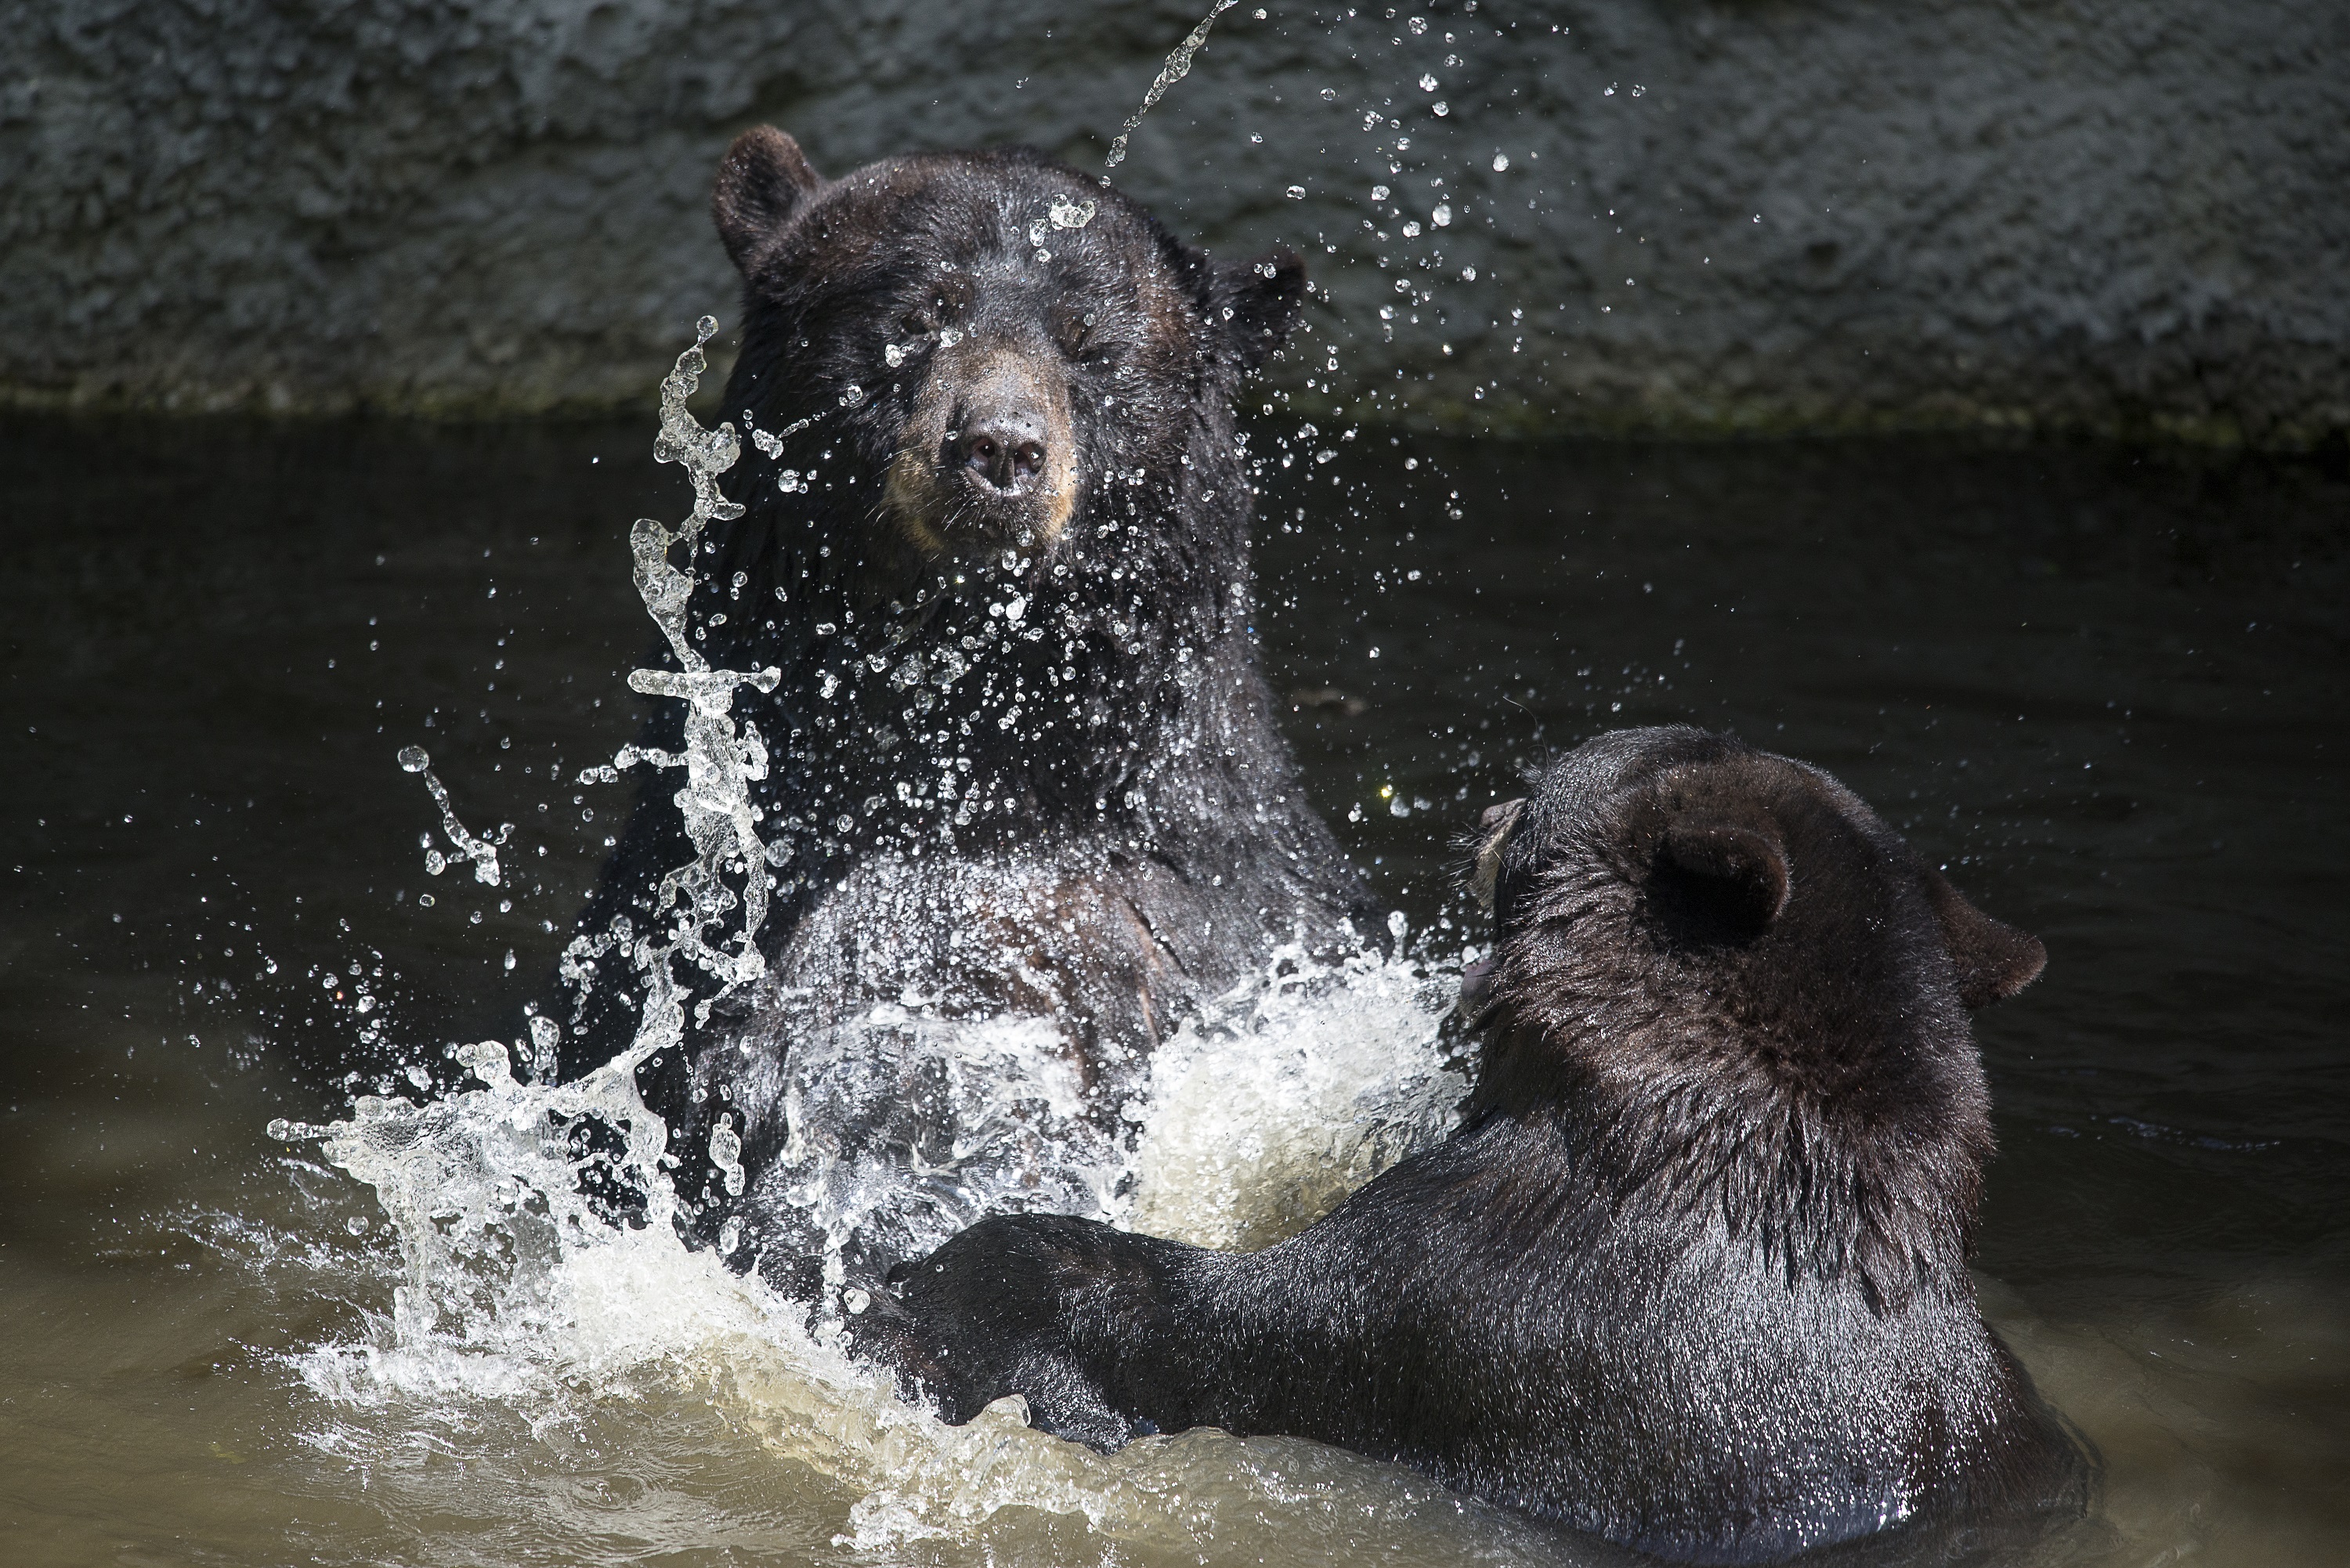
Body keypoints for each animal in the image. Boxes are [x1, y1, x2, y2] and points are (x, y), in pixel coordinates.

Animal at [566, 128, 1372, 1278]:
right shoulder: (697, 935)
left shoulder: (1224, 922)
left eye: (1093, 348)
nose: (1000, 445)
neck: (971, 759)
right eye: (913, 319)